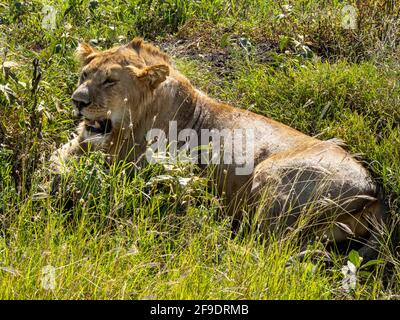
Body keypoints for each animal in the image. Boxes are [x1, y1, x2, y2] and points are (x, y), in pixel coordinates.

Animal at [50, 38, 388, 262]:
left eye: (110, 81)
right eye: (84, 75)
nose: (77, 101)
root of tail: (374, 191)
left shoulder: (136, 168)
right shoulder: (83, 143)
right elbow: (55, 158)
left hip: (271, 176)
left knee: (270, 247)